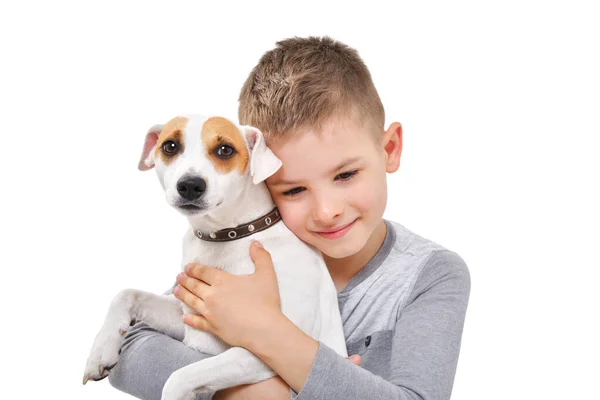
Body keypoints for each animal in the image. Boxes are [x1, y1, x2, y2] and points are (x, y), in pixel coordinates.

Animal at [84, 114, 346, 398]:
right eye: (170, 146)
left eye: (225, 150)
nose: (190, 185)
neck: (230, 236)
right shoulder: (188, 318)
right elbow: (127, 294)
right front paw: (100, 352)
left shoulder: (274, 348)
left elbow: (179, 377)